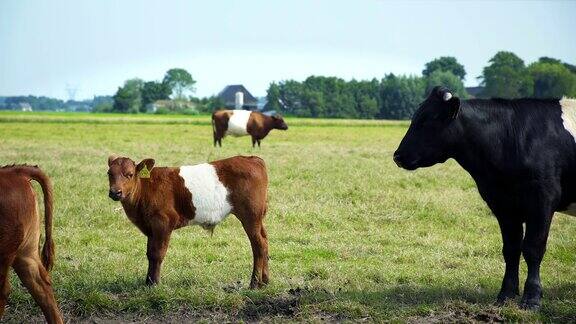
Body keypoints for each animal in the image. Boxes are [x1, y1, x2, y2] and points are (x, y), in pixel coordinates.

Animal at [106, 154, 270, 288]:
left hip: (250, 215)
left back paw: (254, 283)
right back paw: (265, 281)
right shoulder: (151, 228)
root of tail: (252, 159)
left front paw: (154, 284)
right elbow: (150, 253)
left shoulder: (163, 222)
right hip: (258, 218)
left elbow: (157, 253)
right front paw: (148, 282)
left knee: (258, 245)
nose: (115, 192)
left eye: (130, 174)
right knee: (265, 240)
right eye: (109, 173)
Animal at [394, 86, 576, 308]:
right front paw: (505, 294)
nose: (398, 156)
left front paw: (531, 298)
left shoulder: (543, 200)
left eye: (427, 120)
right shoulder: (503, 205)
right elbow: (511, 249)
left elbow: (533, 248)